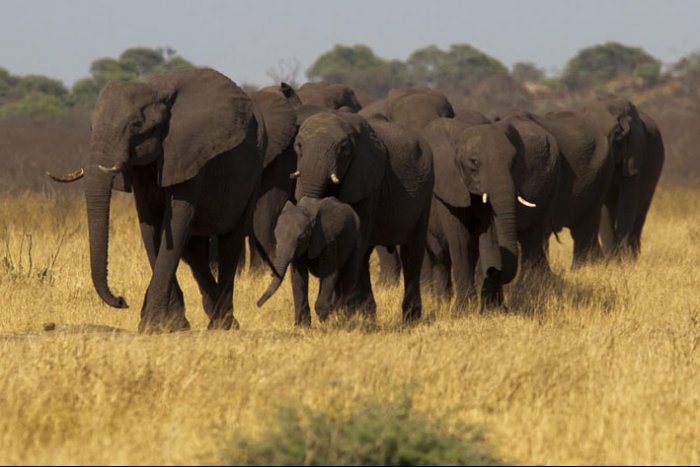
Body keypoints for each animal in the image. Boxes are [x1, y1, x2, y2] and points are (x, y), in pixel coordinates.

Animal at [48, 68, 262, 332]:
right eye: (91, 127)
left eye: (136, 125)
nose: (122, 300)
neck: (157, 91)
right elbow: (149, 226)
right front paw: (172, 324)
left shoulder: (189, 154)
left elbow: (176, 222)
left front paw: (152, 325)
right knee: (194, 251)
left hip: (256, 168)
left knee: (230, 241)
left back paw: (223, 325)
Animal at [258, 197, 366, 326]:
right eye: (275, 236)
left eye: (301, 238)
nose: (258, 304)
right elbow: (299, 277)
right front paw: (302, 326)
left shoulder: (329, 240)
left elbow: (329, 273)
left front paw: (324, 322)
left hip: (357, 240)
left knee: (348, 279)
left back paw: (342, 319)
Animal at [290, 110, 432, 322]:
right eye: (298, 146)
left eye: (343, 149)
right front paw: (342, 312)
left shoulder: (367, 182)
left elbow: (355, 239)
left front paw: (341, 313)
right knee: (366, 254)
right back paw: (367, 313)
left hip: (427, 188)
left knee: (412, 252)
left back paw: (410, 319)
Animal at [600, 105, 664, 260]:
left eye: (618, 142)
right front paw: (612, 260)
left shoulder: (635, 154)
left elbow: (628, 200)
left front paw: (622, 259)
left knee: (640, 212)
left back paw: (632, 256)